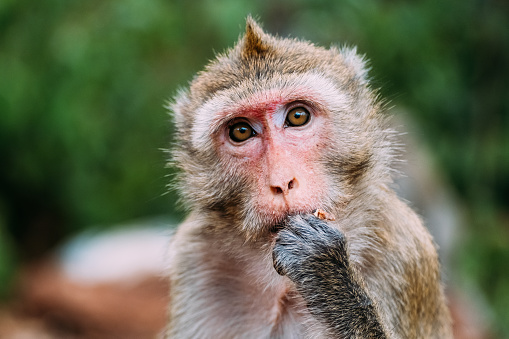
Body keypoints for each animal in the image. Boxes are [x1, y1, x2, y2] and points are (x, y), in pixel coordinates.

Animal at [165, 17, 450, 338]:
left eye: (298, 116)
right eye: (240, 131)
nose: (282, 182)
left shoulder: (405, 250)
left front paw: (326, 272)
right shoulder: (196, 259)